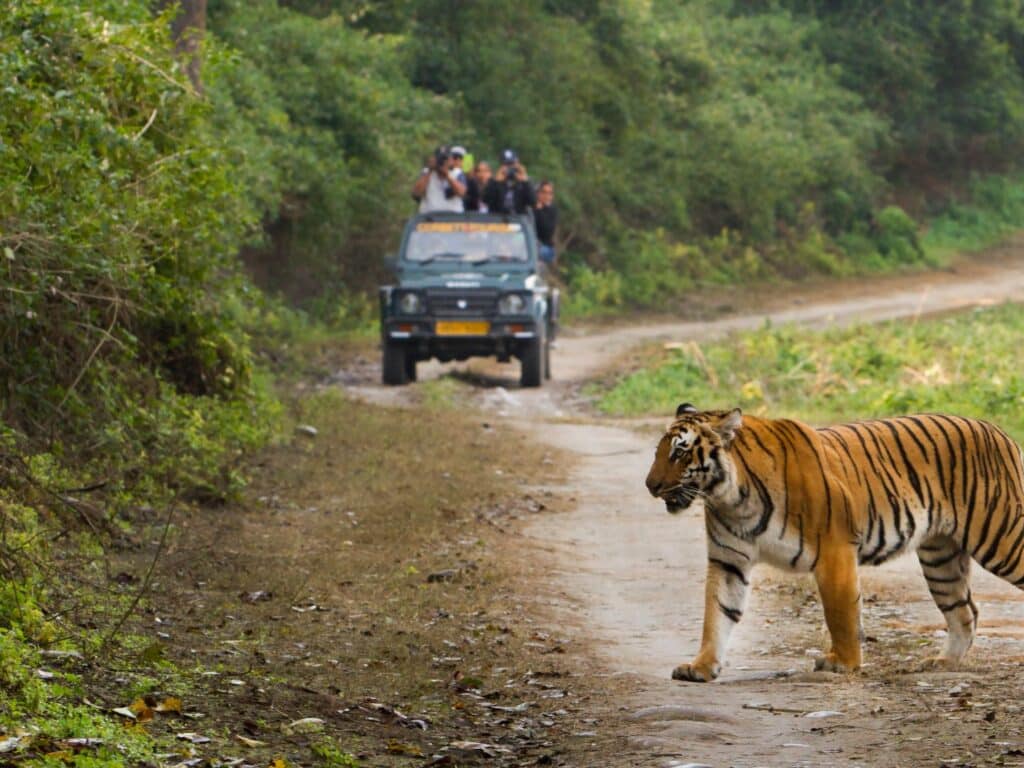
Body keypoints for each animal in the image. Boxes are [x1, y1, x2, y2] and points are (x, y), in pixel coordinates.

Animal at [644, 403, 1024, 682]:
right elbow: (717, 614)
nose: (650, 485)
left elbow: (840, 612)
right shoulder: (728, 560)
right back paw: (944, 662)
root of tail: (999, 431)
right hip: (940, 558)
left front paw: (843, 663)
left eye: (680, 453)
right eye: (659, 452)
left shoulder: (834, 549)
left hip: (1001, 538)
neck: (732, 498)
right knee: (964, 611)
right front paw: (701, 666)